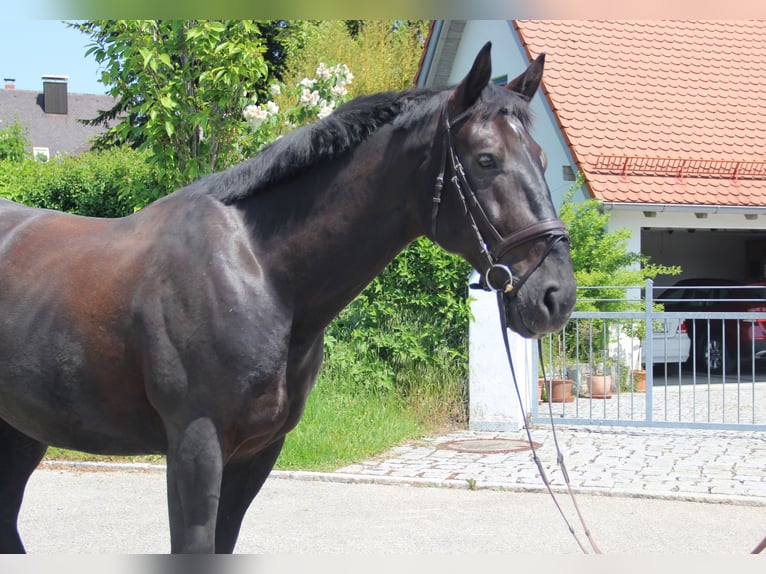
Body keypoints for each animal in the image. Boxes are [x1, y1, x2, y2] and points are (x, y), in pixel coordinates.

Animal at [0, 42, 576, 556]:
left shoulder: (256, 453)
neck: (261, 273)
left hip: (22, 430)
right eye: (486, 159)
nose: (557, 295)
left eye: (542, 158)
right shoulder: (195, 448)